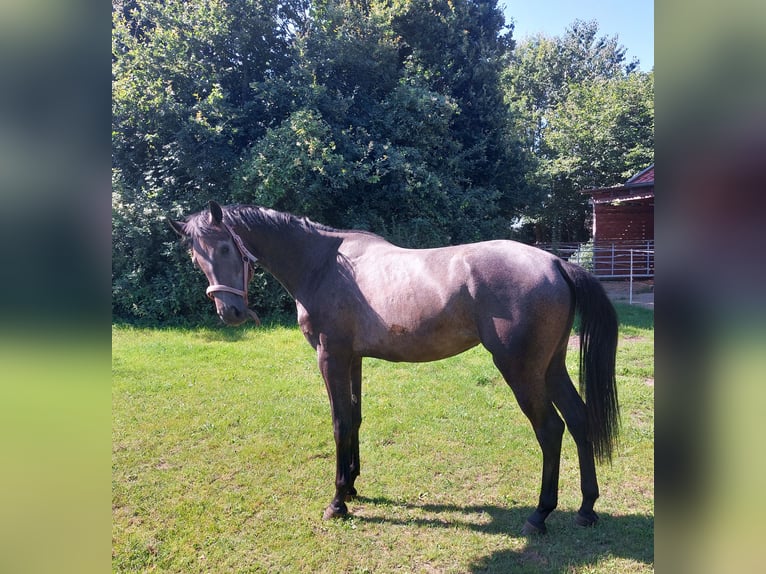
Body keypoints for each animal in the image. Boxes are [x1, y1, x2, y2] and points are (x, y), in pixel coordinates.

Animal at [171, 201, 620, 536]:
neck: (325, 265)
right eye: (195, 258)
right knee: (579, 419)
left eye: (225, 249)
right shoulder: (352, 359)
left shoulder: (330, 357)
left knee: (551, 429)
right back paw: (586, 508)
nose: (230, 313)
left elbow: (339, 422)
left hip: (522, 372)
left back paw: (539, 514)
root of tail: (554, 263)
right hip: (551, 367)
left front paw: (337, 501)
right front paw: (352, 485)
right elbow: (354, 418)